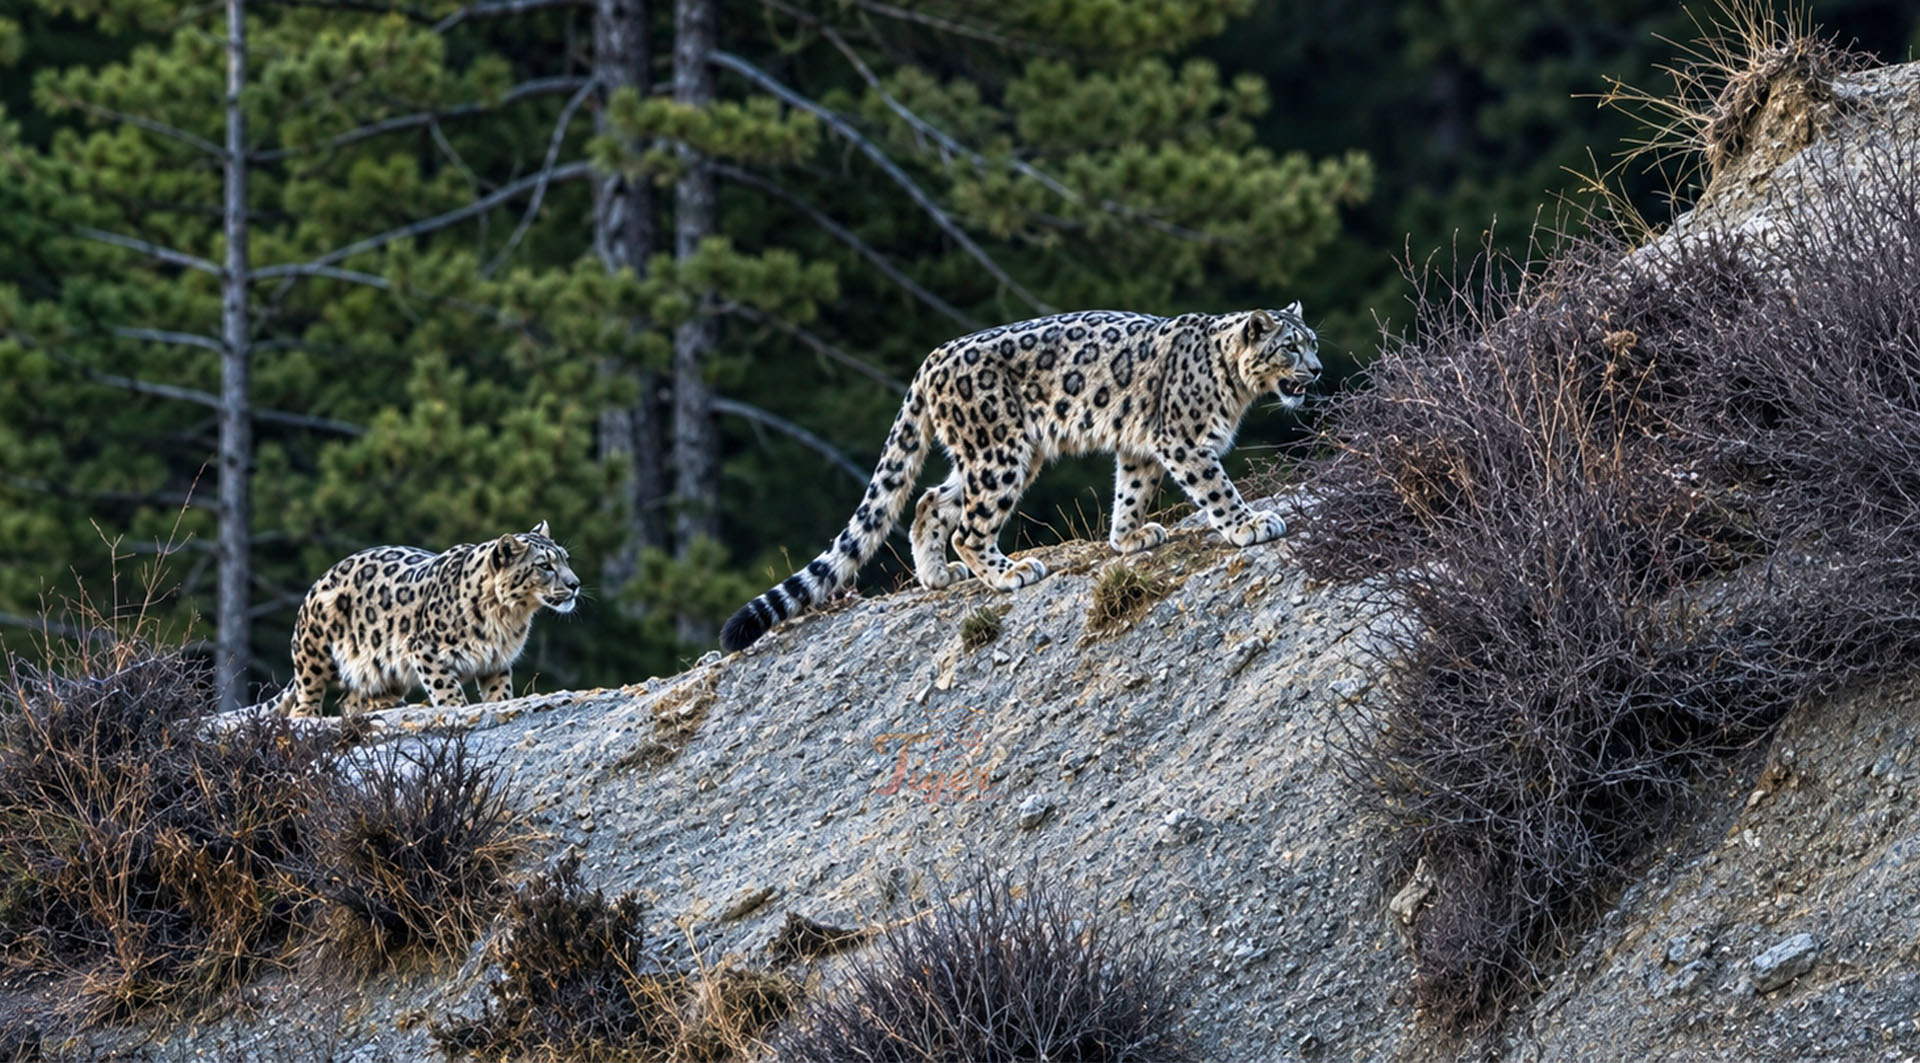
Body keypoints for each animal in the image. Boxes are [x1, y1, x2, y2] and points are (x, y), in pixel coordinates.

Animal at [259, 521, 581, 717]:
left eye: (566, 558)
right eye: (544, 565)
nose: (575, 584)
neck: (508, 617)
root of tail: (317, 581)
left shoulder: (496, 661)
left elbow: (499, 693)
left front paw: (500, 705)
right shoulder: (426, 650)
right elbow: (446, 688)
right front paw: (455, 708)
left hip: (383, 670)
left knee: (350, 700)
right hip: (314, 651)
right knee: (306, 696)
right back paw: (310, 715)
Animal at [719, 304, 1319, 651]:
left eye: (1313, 341)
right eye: (1290, 346)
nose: (1316, 371)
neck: (1236, 387)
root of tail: (933, 357)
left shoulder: (1141, 446)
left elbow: (1132, 491)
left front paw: (1130, 537)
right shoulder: (1184, 440)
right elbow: (1217, 488)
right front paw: (1251, 524)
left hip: (998, 456)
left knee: (930, 500)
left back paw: (937, 576)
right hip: (999, 452)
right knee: (968, 528)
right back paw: (1010, 573)